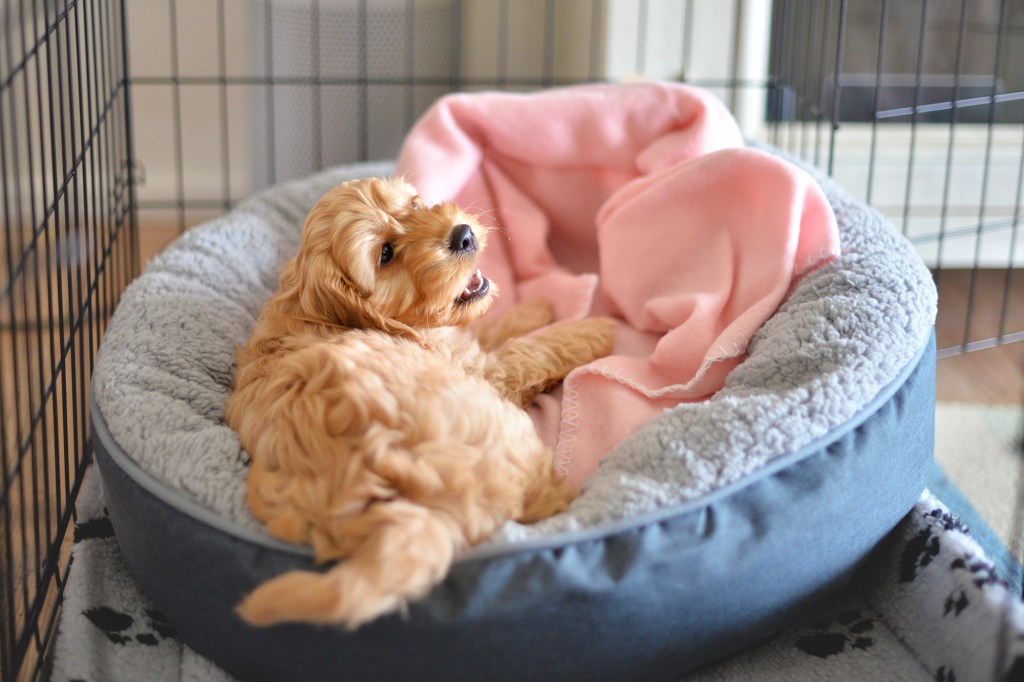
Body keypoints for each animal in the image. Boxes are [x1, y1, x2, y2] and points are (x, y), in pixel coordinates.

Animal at [226, 176, 614, 626]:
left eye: (414, 205)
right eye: (385, 254)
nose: (462, 235)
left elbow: (485, 328)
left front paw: (531, 310)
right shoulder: (485, 372)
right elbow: (532, 351)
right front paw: (593, 329)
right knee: (540, 501)